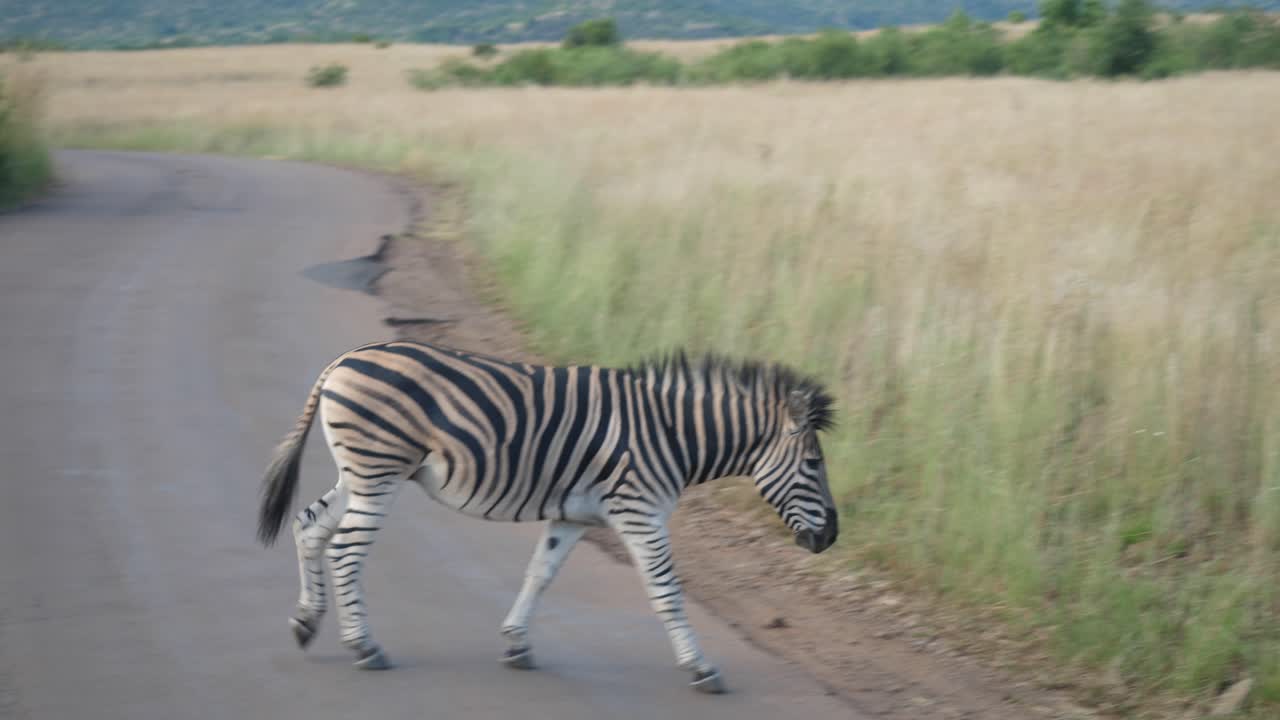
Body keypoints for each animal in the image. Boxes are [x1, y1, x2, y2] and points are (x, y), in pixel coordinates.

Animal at [256, 340, 838, 694]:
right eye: (814, 464)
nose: (832, 537)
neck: (672, 435)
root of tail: (344, 359)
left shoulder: (573, 516)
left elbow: (540, 573)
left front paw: (517, 643)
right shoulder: (640, 511)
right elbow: (666, 592)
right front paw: (702, 668)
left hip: (360, 474)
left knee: (309, 525)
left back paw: (306, 623)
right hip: (379, 472)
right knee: (346, 549)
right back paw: (365, 645)